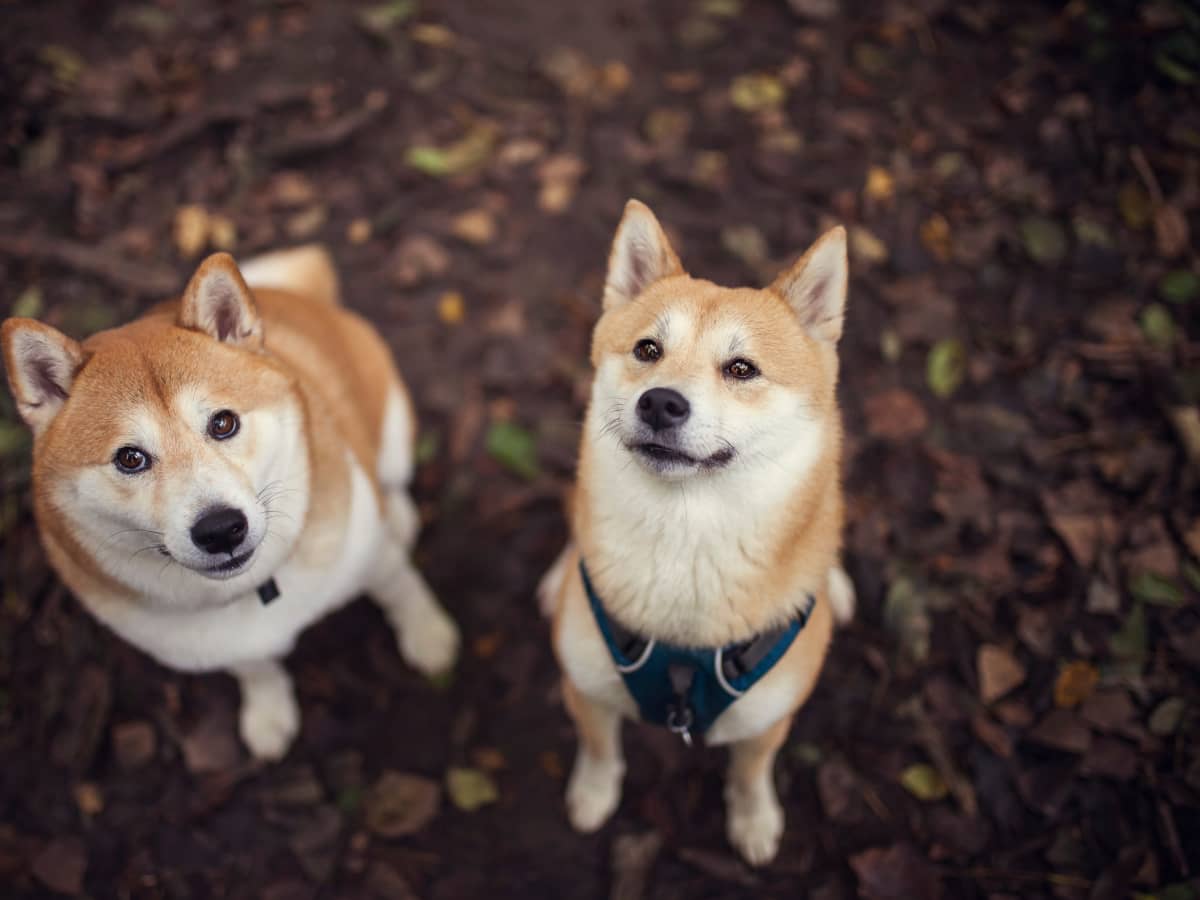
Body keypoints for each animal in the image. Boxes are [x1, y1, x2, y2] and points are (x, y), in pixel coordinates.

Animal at [1, 250, 458, 763]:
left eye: (223, 423)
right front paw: (269, 713)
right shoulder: (219, 646)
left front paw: (429, 635)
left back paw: (398, 515)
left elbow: (402, 589)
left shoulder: (372, 558)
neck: (257, 586)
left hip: (392, 429)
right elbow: (256, 668)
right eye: (130, 458)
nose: (220, 529)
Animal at [540, 202, 859, 868]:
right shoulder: (586, 691)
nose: (660, 402)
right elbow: (602, 752)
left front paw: (755, 820)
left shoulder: (767, 721)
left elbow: (749, 774)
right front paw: (593, 794)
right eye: (647, 349)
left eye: (742, 369)